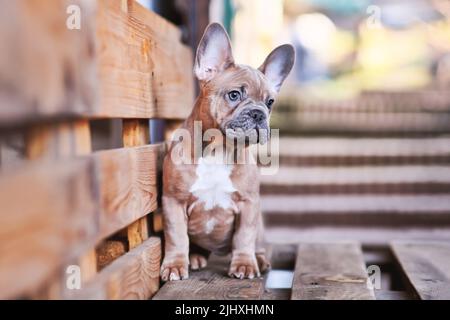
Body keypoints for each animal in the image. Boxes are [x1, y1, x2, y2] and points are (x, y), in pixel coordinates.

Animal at [160, 23, 294, 282]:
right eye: (234, 95)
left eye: (270, 102)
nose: (258, 113)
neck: (218, 151)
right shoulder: (174, 202)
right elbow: (176, 237)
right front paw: (175, 265)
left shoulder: (248, 204)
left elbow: (244, 237)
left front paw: (244, 264)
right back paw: (196, 257)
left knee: (257, 244)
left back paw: (259, 260)